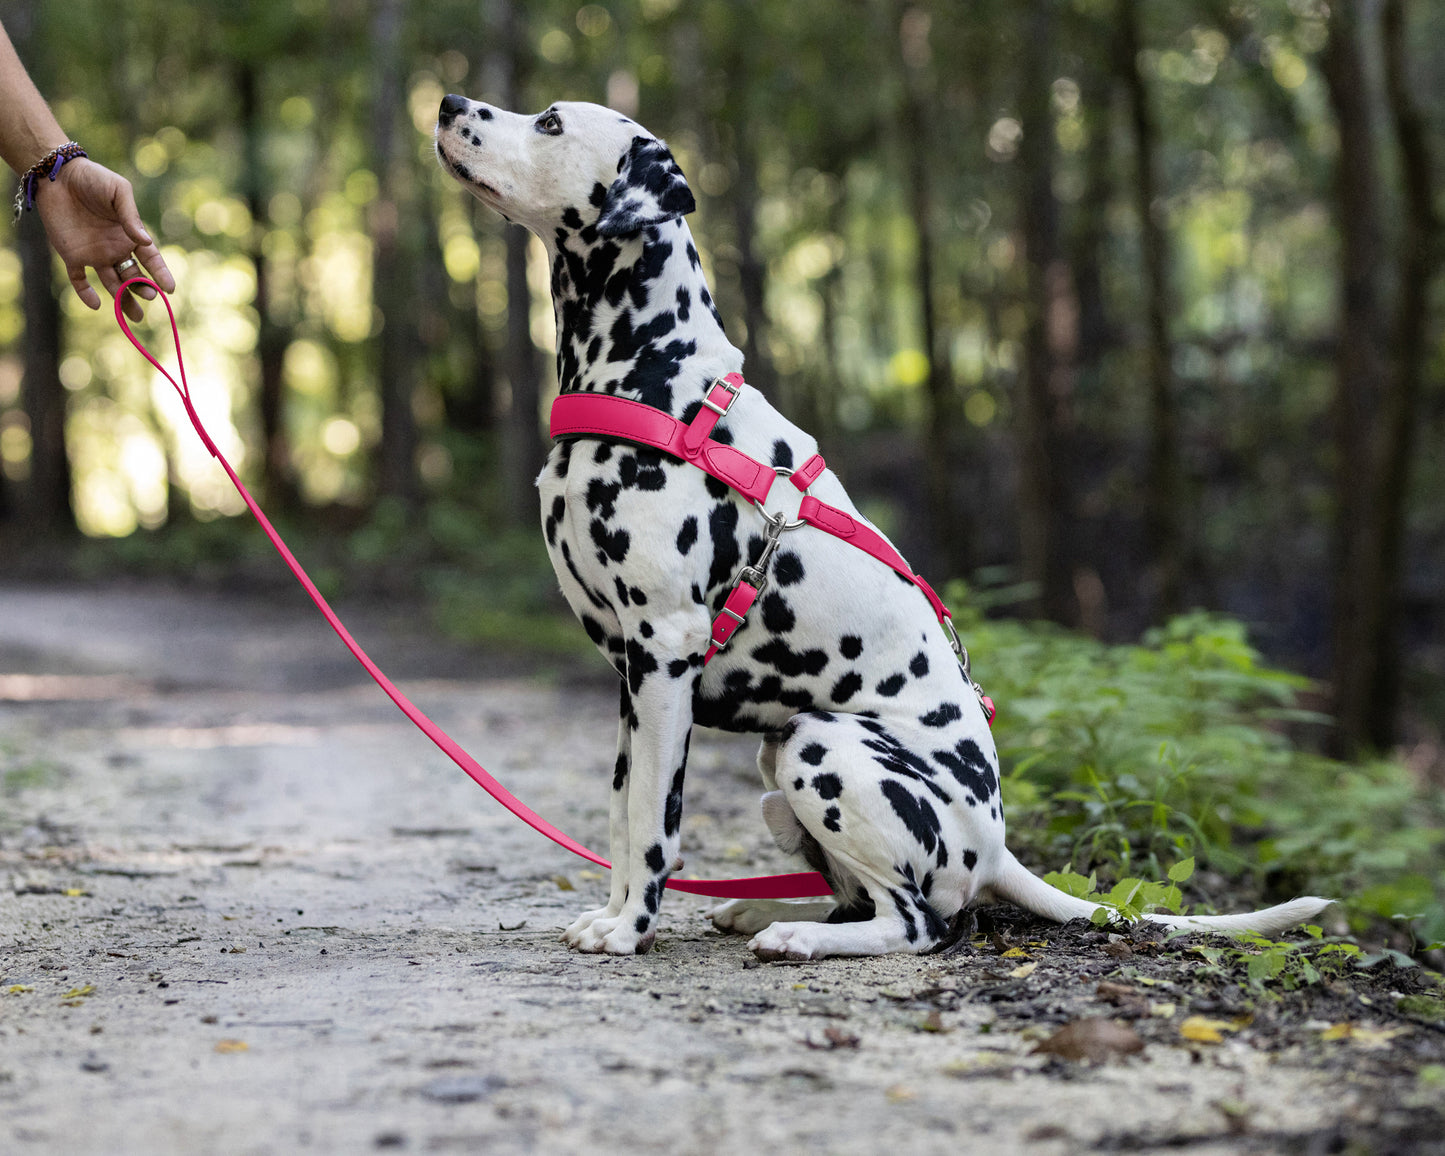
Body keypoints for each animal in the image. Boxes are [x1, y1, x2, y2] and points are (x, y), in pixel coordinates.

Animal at [430, 96, 1329, 959]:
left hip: (821, 746)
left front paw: (630, 932)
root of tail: (995, 847)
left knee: (917, 923)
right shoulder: (631, 675)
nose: (445, 103)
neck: (657, 377)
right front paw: (614, 915)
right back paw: (765, 913)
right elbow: (623, 814)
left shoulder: (664, 652)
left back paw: (794, 936)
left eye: (550, 123)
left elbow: (656, 821)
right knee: (860, 897)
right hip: (779, 758)